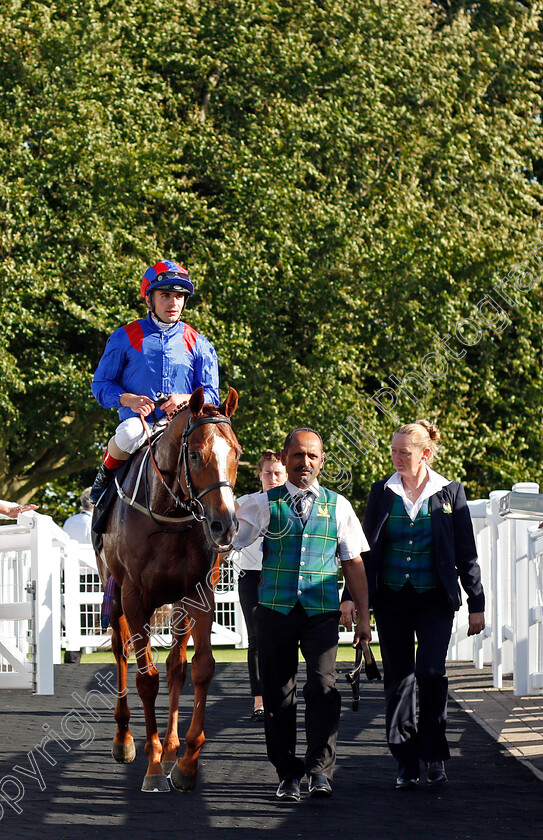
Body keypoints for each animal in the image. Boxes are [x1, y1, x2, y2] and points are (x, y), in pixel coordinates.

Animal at [94, 388, 241, 796]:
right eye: (195, 454)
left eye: (236, 453)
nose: (224, 524)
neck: (169, 516)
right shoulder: (134, 599)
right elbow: (146, 679)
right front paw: (154, 765)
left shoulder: (200, 594)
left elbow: (201, 668)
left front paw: (187, 761)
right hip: (115, 598)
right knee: (121, 654)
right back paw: (125, 739)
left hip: (178, 602)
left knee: (176, 664)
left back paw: (174, 748)